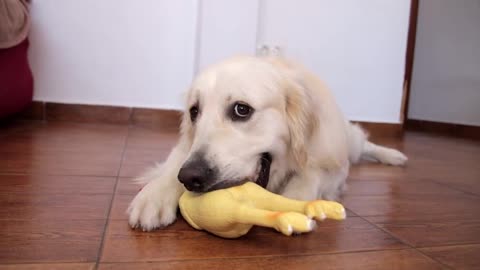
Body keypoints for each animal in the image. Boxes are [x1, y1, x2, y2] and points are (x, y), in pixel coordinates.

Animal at [128, 56, 408, 231]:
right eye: (194, 112)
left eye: (241, 110)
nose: (191, 177)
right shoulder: (185, 150)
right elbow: (172, 166)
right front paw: (153, 196)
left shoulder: (333, 165)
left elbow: (310, 175)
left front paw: (296, 200)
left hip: (346, 140)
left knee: (365, 144)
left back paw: (395, 156)